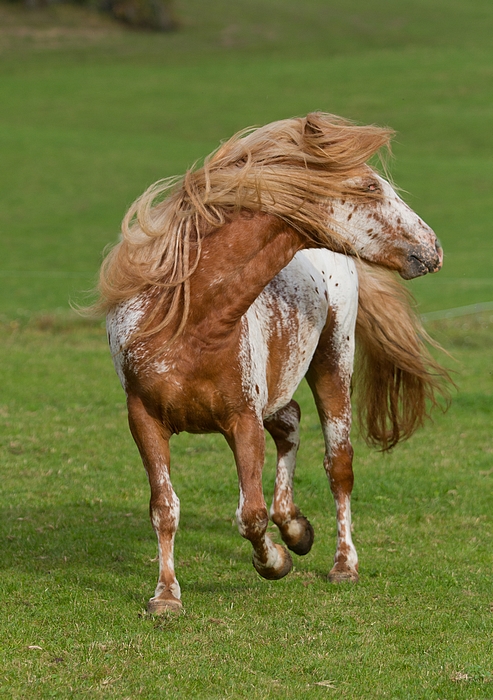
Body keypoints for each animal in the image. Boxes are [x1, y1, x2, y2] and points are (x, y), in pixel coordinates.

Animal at [90, 113, 448, 612]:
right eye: (369, 188)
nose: (432, 248)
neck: (190, 323)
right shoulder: (144, 419)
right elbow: (164, 508)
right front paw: (165, 597)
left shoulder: (242, 420)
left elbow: (251, 514)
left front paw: (274, 562)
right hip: (279, 389)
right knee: (292, 422)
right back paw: (296, 527)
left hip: (333, 363)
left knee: (339, 466)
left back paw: (342, 564)